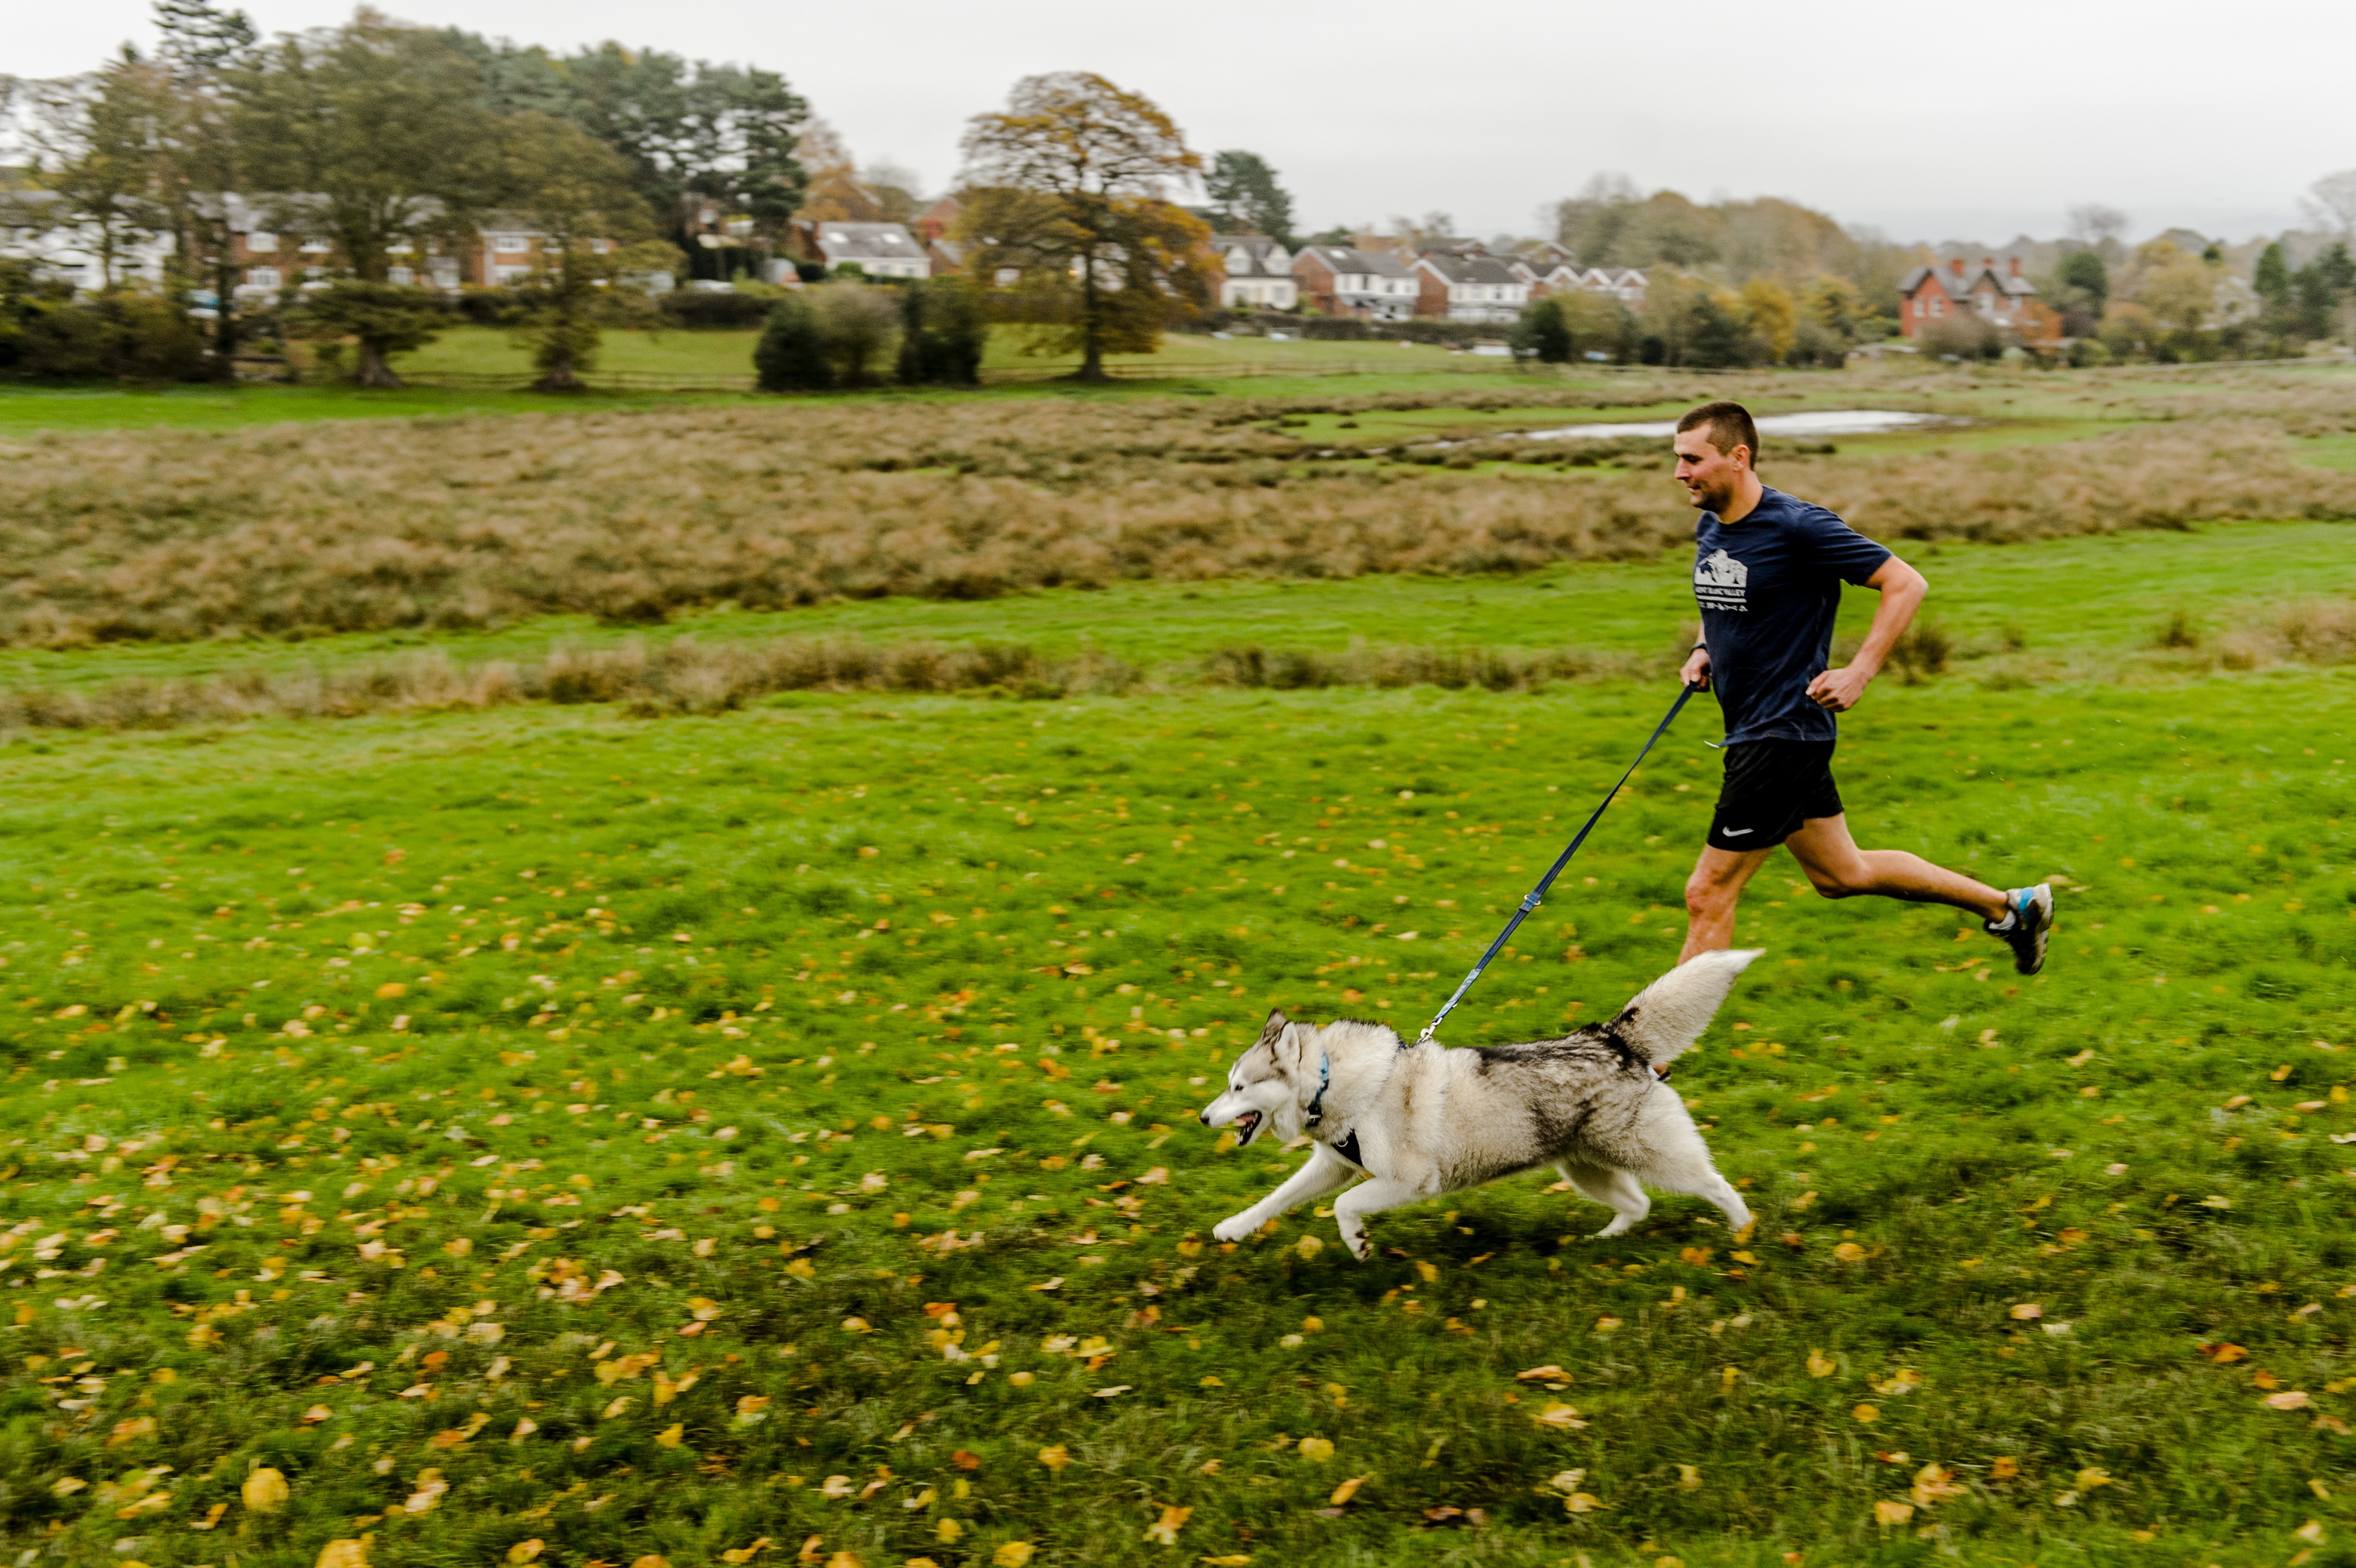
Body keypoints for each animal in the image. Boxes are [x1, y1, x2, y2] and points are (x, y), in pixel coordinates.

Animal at [1196, 942, 1771, 1262]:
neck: (1332, 1082)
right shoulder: (1333, 1165)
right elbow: (1276, 1199)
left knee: (1715, 1185)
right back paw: (1603, 1241)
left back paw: (1742, 1233)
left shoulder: (1410, 1181)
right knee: (1638, 1205)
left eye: (1239, 1088)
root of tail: (1610, 1038)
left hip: (1652, 1156)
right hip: (1584, 1168)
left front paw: (1357, 1242)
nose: (1202, 1117)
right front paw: (1233, 1228)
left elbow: (1343, 1207)